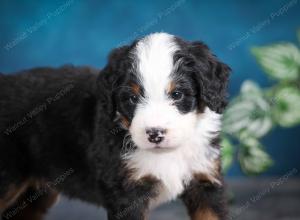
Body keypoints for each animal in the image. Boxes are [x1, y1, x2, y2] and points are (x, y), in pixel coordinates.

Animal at [0, 33, 231, 220]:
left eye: (177, 94)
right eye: (132, 98)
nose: (154, 134)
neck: (167, 154)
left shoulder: (205, 182)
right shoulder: (126, 194)